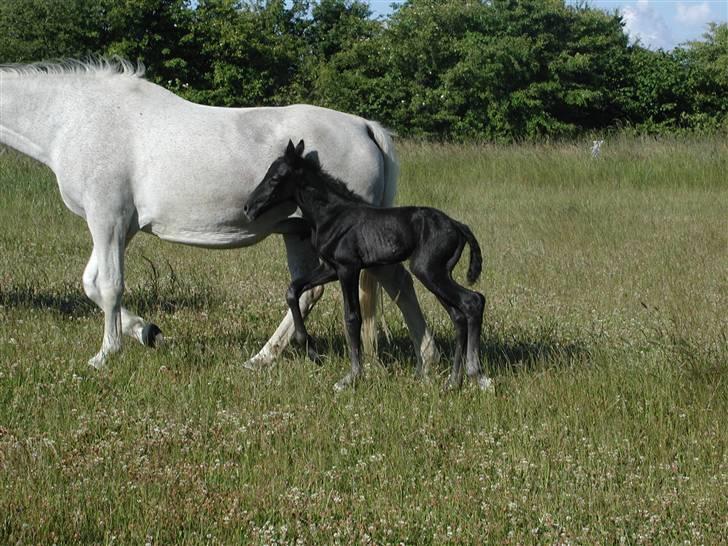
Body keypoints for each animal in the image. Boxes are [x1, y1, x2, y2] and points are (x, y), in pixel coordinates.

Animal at [0, 60, 438, 374]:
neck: (77, 117)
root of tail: (365, 127)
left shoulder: (107, 218)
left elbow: (109, 286)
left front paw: (105, 355)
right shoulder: (119, 227)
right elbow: (92, 284)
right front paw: (148, 332)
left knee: (394, 284)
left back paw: (429, 359)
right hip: (299, 232)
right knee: (318, 290)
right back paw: (262, 359)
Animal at [246, 138, 494, 388]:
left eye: (275, 178)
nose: (248, 208)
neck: (332, 215)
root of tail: (458, 225)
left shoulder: (348, 268)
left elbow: (352, 317)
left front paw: (351, 376)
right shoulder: (329, 268)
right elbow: (293, 290)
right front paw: (310, 349)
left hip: (429, 270)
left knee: (473, 301)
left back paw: (476, 375)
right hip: (438, 273)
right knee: (459, 315)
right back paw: (453, 381)